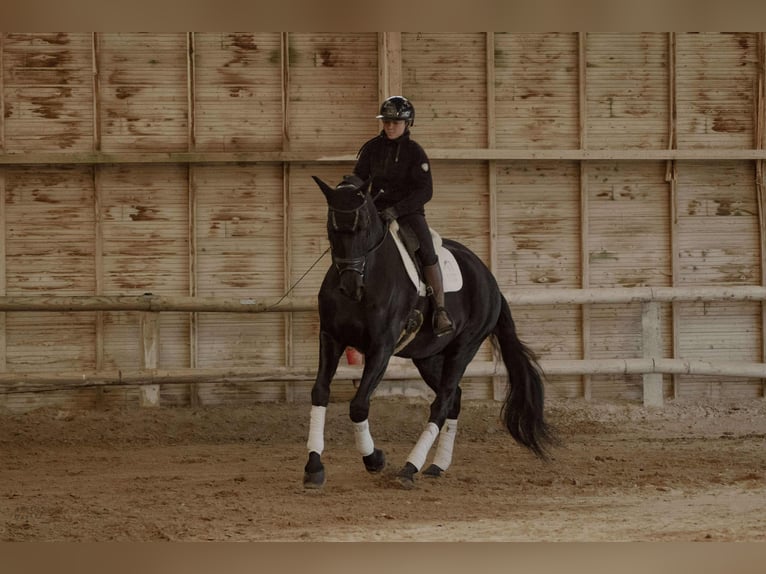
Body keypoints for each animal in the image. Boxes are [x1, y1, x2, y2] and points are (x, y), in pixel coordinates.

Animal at [304, 176, 556, 490]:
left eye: (362, 227)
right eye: (331, 227)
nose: (350, 286)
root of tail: (490, 280)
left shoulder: (381, 348)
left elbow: (359, 405)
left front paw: (374, 459)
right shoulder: (330, 338)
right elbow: (319, 392)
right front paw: (314, 466)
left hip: (464, 348)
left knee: (442, 402)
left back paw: (409, 468)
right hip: (428, 357)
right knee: (454, 399)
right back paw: (437, 465)